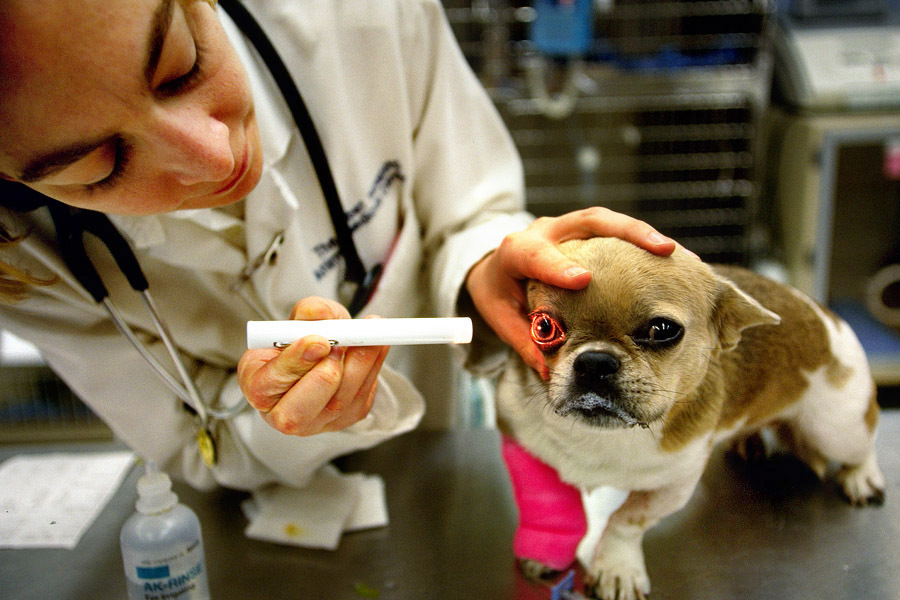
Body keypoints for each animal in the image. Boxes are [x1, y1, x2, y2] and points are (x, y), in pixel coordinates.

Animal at [500, 237, 884, 600]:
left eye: (662, 329)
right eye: (543, 327)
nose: (595, 361)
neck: (610, 435)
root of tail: (823, 314)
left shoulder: (673, 485)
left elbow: (625, 519)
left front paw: (616, 567)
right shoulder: (529, 449)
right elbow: (550, 504)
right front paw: (548, 551)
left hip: (834, 430)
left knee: (863, 443)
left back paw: (862, 476)